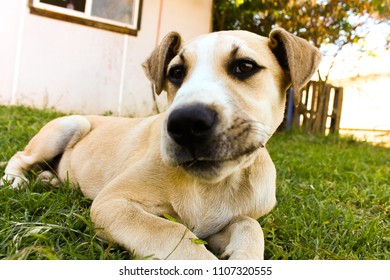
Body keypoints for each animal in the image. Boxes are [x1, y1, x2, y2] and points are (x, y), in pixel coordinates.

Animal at [1, 29, 322, 260]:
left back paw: (51, 179)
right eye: (176, 73)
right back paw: (16, 180)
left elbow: (249, 225)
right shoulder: (112, 203)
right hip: (71, 125)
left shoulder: (221, 223)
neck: (214, 186)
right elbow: (171, 231)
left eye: (245, 66)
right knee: (20, 156)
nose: (186, 123)